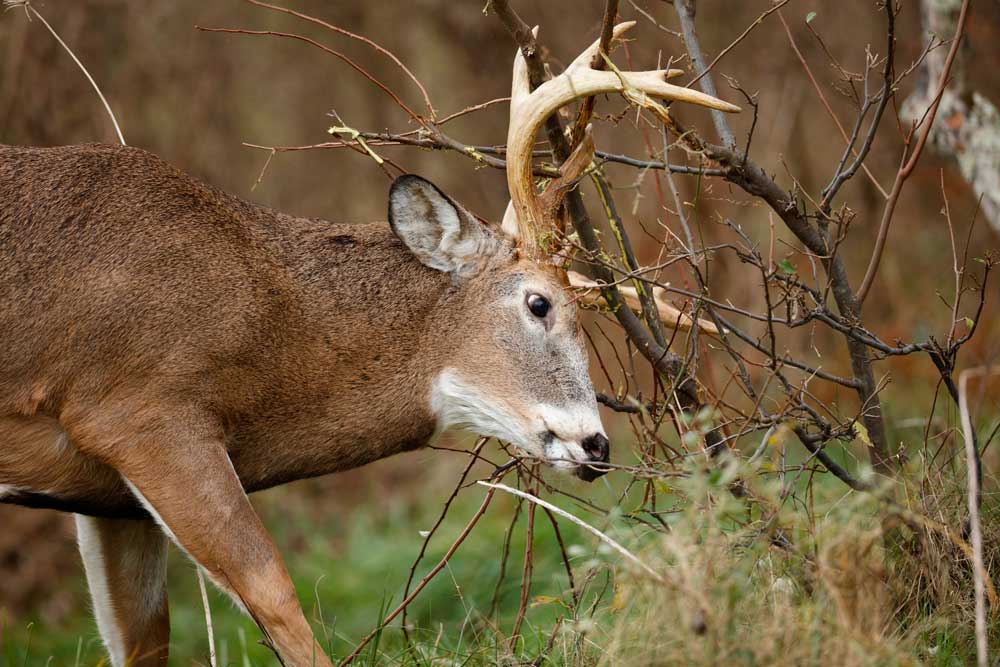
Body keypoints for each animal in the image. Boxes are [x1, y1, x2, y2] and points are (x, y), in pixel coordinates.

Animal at [0, 20, 736, 667]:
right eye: (538, 302)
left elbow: (143, 640)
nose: (597, 444)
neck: (270, 323)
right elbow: (274, 592)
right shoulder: (139, 407)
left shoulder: (104, 493)